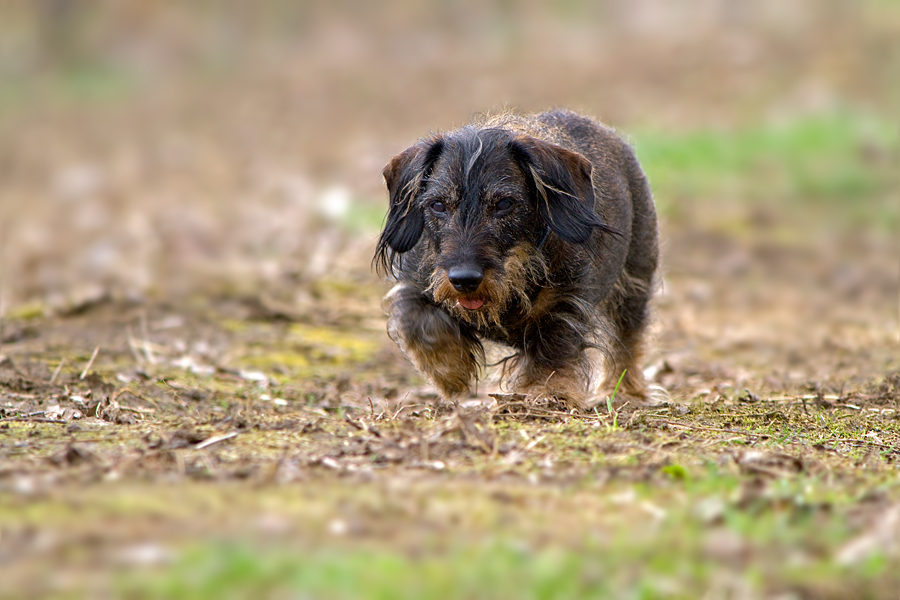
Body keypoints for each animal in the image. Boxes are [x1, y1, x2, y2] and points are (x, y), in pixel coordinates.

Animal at [374, 109, 660, 408]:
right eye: (438, 205)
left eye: (504, 204)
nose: (464, 279)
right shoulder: (418, 283)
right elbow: (419, 322)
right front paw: (450, 373)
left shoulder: (565, 302)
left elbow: (555, 347)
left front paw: (547, 392)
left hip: (634, 280)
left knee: (627, 338)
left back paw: (625, 390)